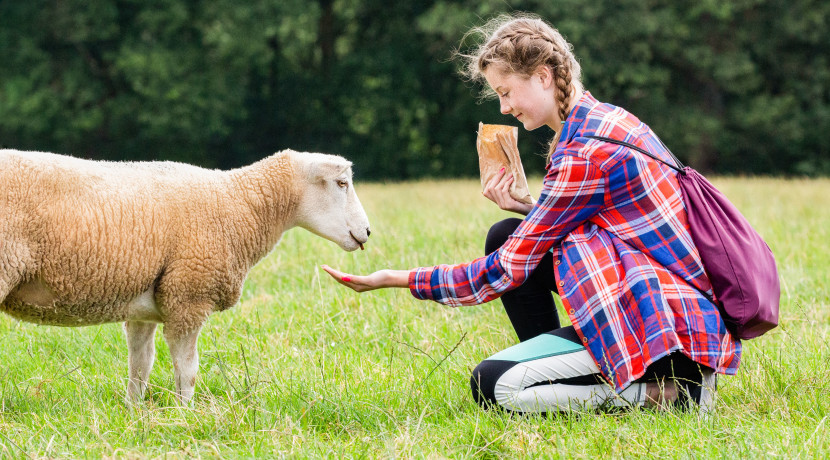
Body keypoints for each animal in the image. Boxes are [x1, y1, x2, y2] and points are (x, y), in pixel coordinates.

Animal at [0, 149, 370, 404]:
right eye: (341, 183)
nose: (367, 232)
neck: (241, 204)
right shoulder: (189, 296)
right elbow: (188, 370)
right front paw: (185, 414)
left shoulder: (144, 307)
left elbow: (140, 367)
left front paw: (135, 413)